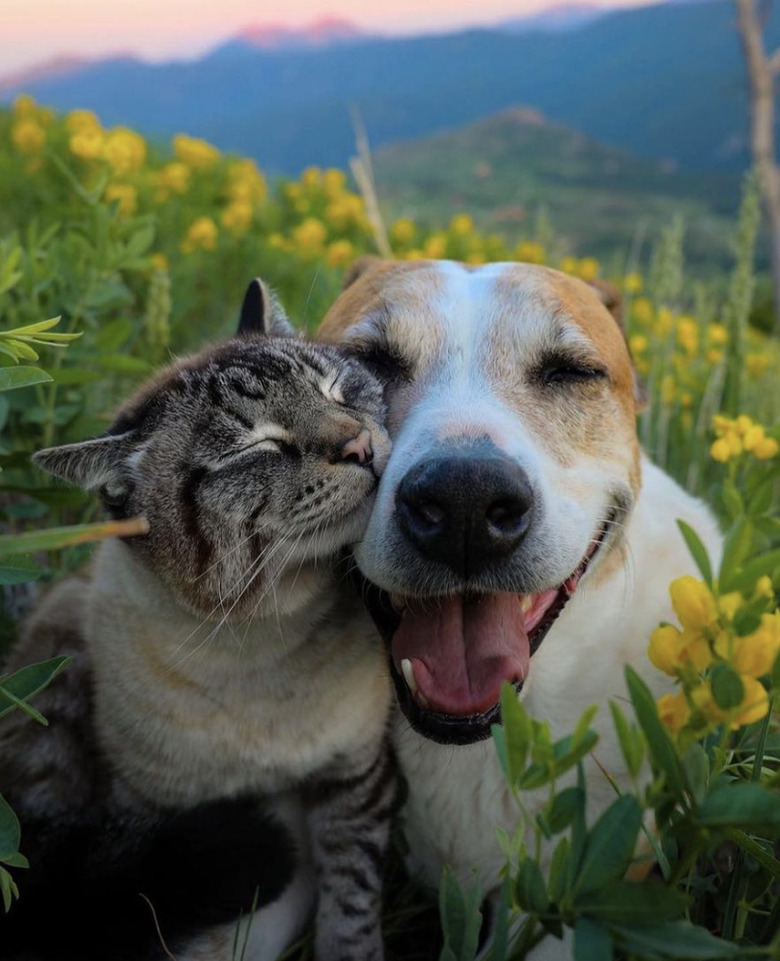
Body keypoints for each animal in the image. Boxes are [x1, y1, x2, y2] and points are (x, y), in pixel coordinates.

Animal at [1, 280, 396, 960]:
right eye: (259, 447)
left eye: (340, 390)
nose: (362, 446)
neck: (257, 640)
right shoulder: (153, 807)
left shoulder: (354, 779)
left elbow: (350, 911)